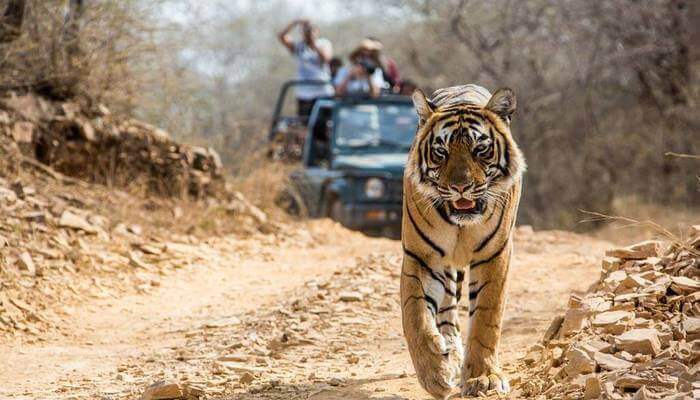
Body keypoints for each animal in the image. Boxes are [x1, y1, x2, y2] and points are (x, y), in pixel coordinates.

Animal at [400, 83, 524, 398]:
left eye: (480, 149)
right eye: (440, 152)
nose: (460, 187)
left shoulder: (495, 255)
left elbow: (486, 320)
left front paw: (483, 378)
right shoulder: (421, 257)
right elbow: (415, 315)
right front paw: (434, 374)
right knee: (446, 312)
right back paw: (450, 354)